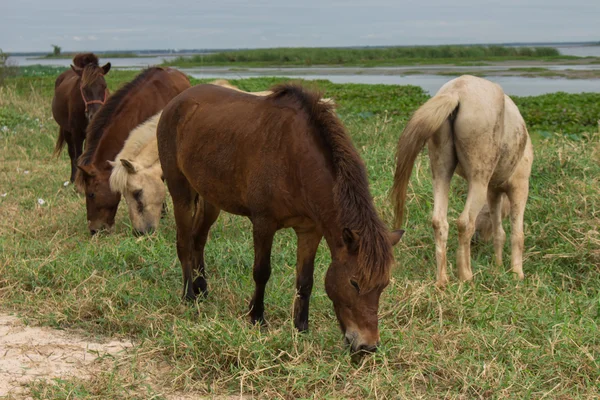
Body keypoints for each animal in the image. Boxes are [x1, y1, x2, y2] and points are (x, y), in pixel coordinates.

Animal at [51, 53, 110, 189]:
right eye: (84, 88)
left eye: (104, 86)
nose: (95, 114)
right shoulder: (76, 133)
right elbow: (77, 155)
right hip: (67, 131)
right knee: (72, 153)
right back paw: (72, 178)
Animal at [158, 83, 404, 352]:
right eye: (354, 283)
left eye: (383, 285)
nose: (368, 346)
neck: (295, 159)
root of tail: (176, 102)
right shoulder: (263, 223)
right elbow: (262, 272)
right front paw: (257, 317)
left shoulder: (310, 230)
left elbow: (305, 280)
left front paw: (301, 327)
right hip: (180, 192)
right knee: (184, 242)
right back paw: (189, 295)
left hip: (211, 197)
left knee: (198, 239)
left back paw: (202, 288)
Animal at [394, 75, 536, 286]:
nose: (478, 239)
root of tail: (456, 92)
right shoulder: (519, 188)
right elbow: (516, 234)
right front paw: (517, 274)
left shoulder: (493, 192)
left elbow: (499, 233)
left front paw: (498, 267)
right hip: (478, 180)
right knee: (465, 222)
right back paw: (466, 276)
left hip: (441, 172)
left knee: (439, 221)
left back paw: (442, 280)